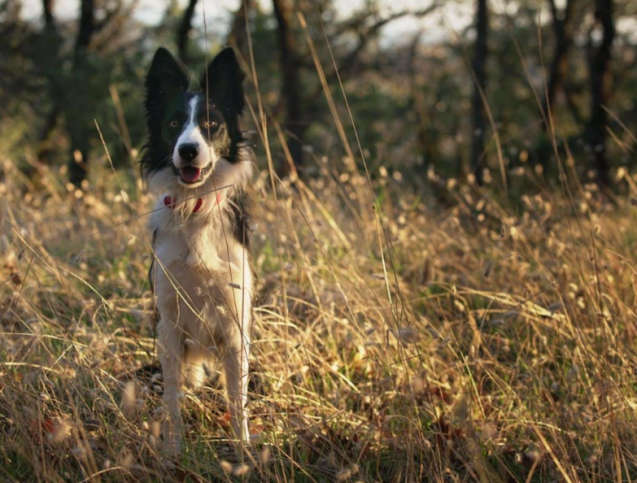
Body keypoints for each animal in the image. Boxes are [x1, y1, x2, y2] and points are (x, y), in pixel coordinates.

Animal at [142, 47, 253, 452]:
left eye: (211, 124)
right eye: (174, 122)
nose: (188, 150)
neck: (196, 205)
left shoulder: (235, 322)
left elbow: (237, 397)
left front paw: (243, 447)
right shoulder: (169, 321)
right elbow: (173, 395)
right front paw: (174, 448)